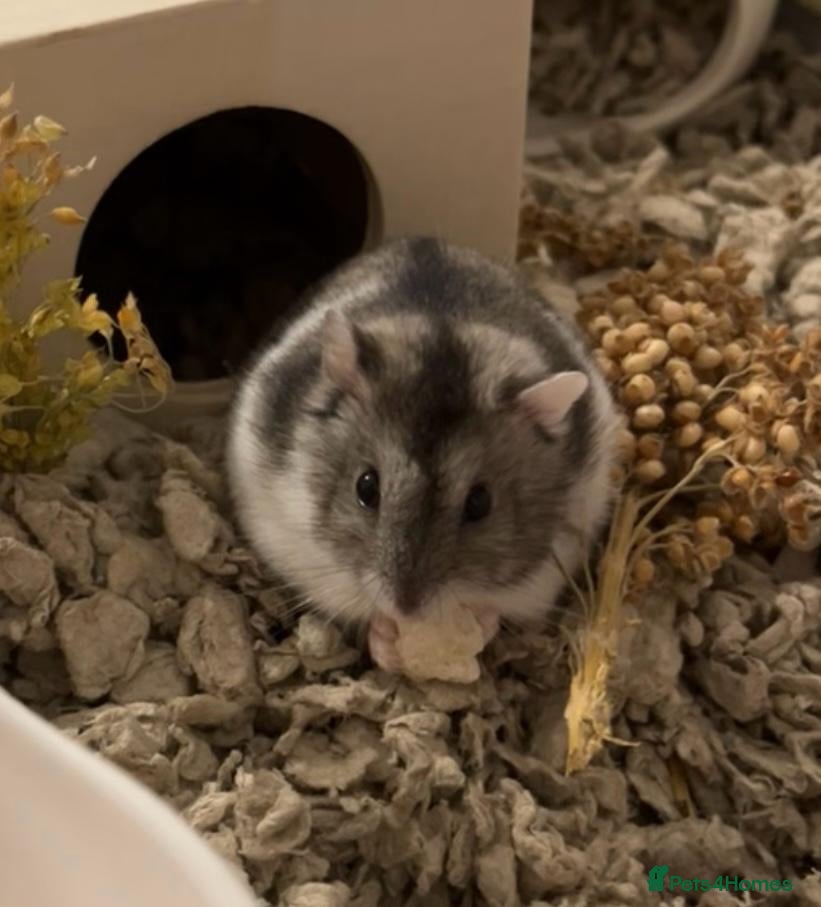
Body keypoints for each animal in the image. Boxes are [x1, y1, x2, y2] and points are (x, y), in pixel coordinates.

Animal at [226, 236, 620, 672]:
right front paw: (386, 638)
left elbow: (495, 612)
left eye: (480, 503)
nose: (407, 609)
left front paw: (475, 625)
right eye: (366, 487)